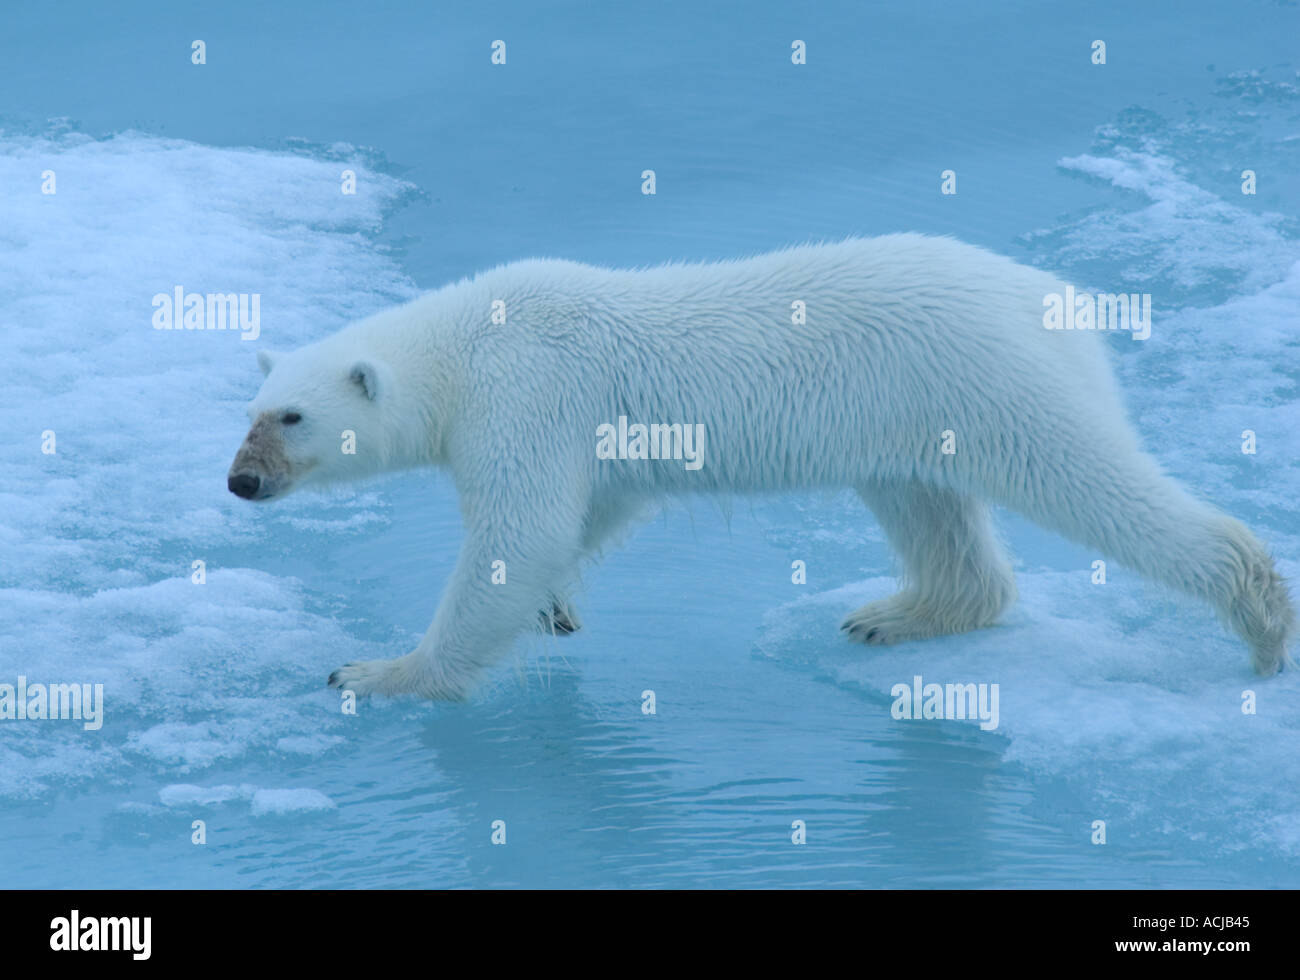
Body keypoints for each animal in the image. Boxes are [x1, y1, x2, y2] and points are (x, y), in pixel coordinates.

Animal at [228, 235, 1294, 696]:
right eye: (249, 412)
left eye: (291, 416)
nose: (240, 481)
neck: (466, 342)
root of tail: (1052, 300)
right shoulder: (586, 436)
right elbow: (584, 515)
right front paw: (556, 606)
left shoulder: (527, 391)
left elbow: (519, 529)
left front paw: (378, 670)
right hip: (912, 409)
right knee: (929, 508)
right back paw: (892, 614)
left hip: (984, 378)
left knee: (1089, 484)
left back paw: (1258, 614)